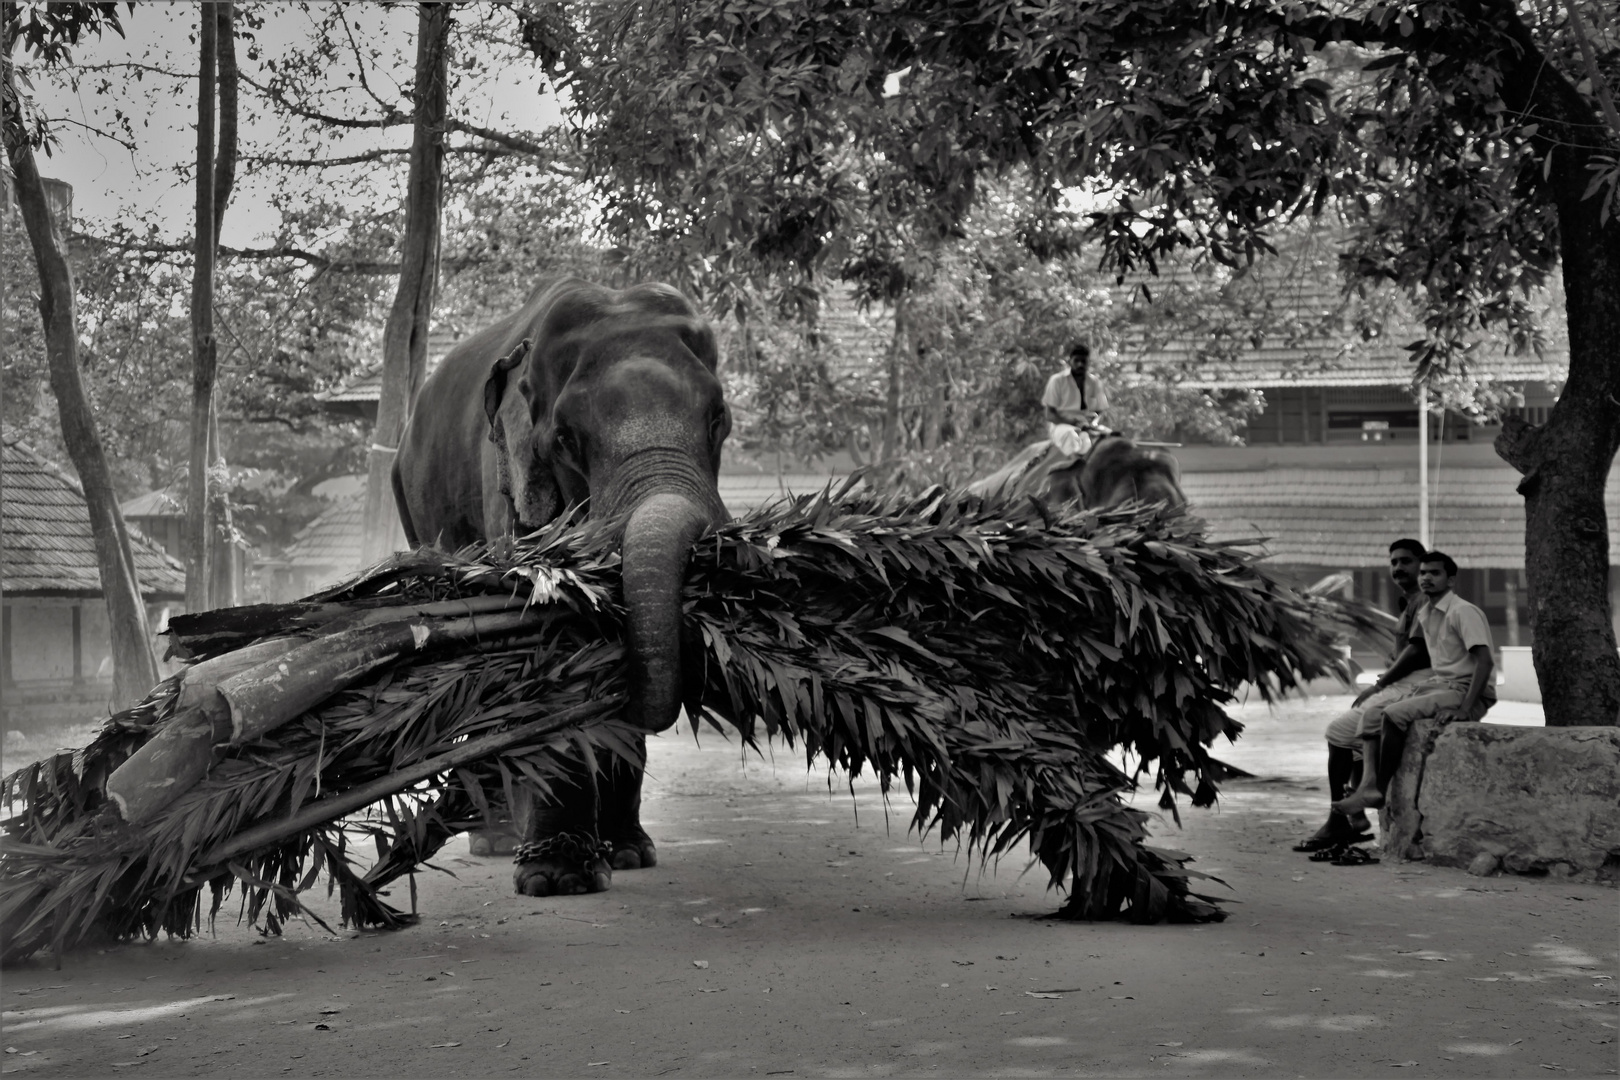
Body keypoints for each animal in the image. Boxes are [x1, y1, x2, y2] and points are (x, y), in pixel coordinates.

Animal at [388, 276, 732, 893]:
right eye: (567, 440)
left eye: (718, 418)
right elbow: (547, 633)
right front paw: (558, 877)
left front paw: (626, 854)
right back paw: (497, 840)